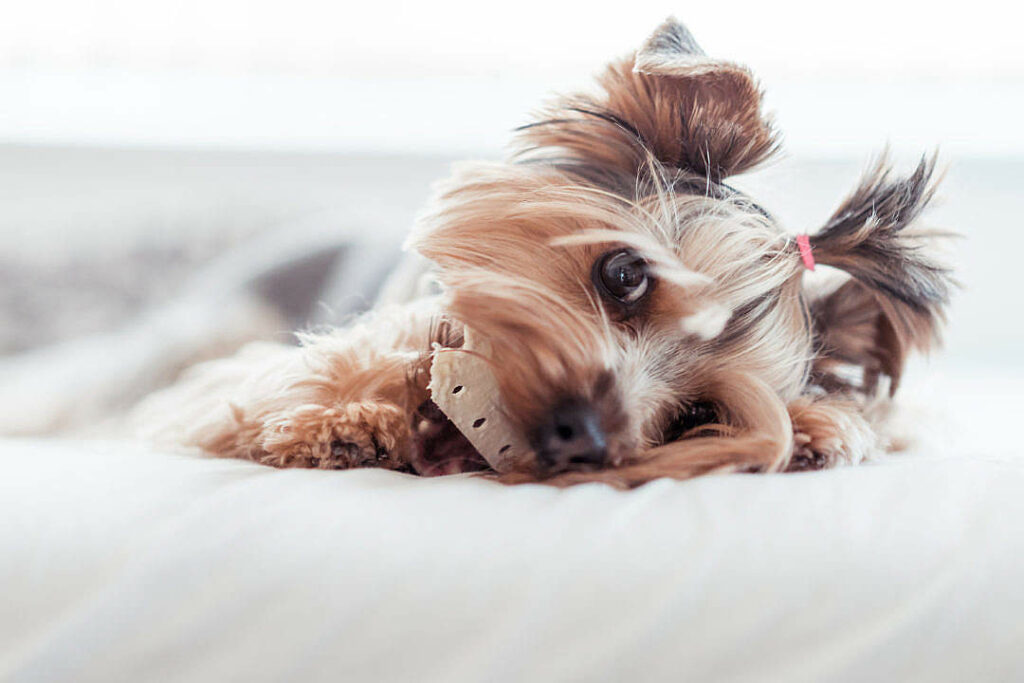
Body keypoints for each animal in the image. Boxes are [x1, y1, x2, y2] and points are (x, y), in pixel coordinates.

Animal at [132, 18, 954, 489]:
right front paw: (338, 420)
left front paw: (822, 426)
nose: (580, 436)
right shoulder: (202, 399)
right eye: (624, 273)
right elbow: (275, 387)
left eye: (699, 416)